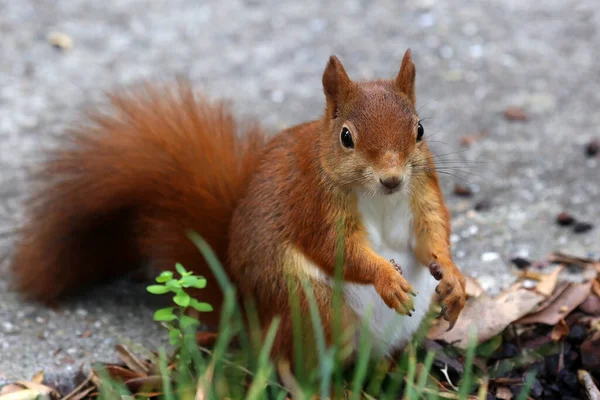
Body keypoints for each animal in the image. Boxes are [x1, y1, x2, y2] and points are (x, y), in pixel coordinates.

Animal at [11, 49, 466, 368]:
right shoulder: (313, 205)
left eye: (419, 130)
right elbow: (336, 250)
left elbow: (432, 236)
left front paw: (455, 278)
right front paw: (386, 278)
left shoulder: (421, 193)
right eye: (346, 137)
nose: (391, 178)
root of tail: (252, 322)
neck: (380, 198)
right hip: (309, 306)